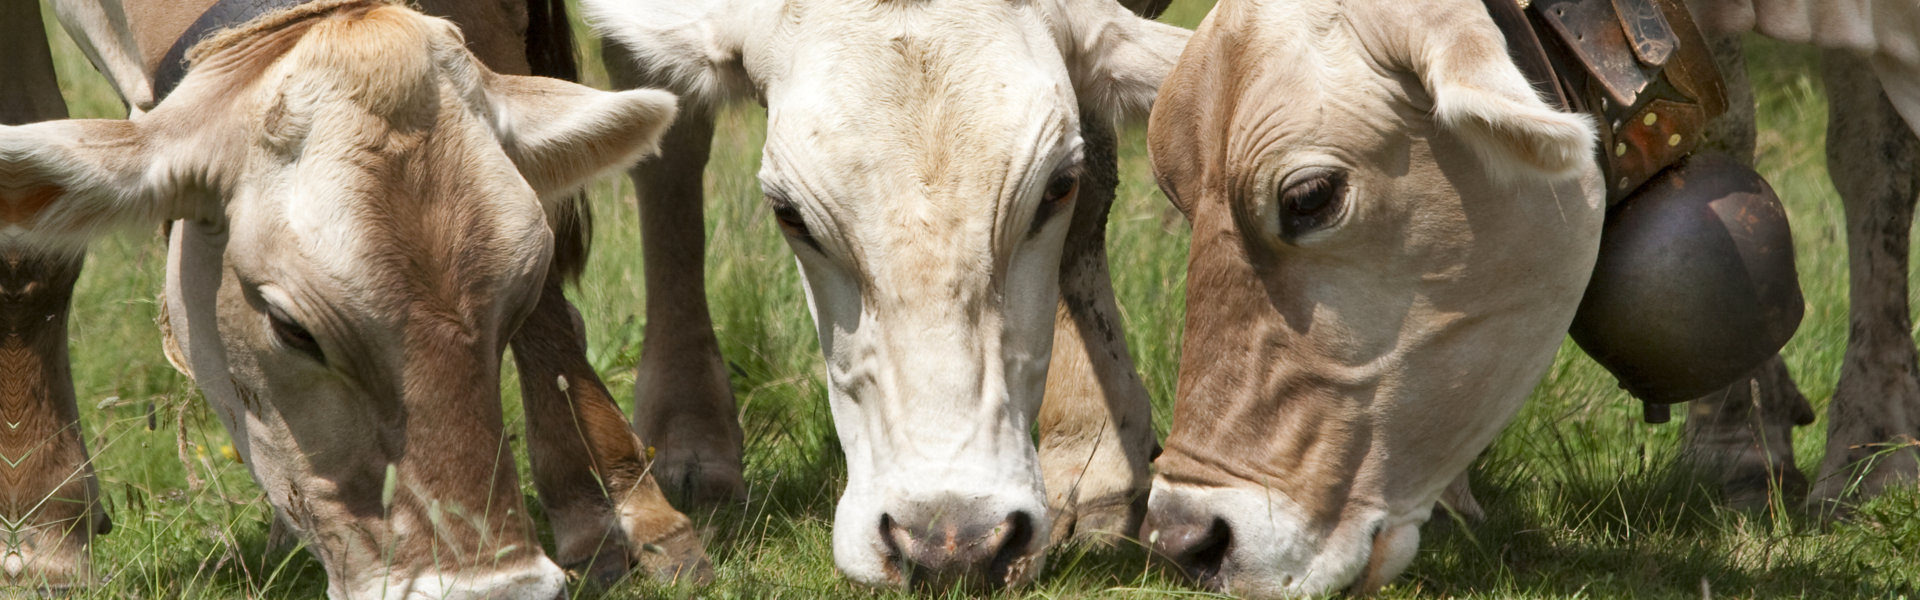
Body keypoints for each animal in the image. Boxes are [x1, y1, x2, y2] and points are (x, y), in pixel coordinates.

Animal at [3, 0, 710, 596]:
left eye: (521, 293)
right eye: (291, 327)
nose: (496, 588)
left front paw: (616, 511)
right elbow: (26, 251)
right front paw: (41, 530)